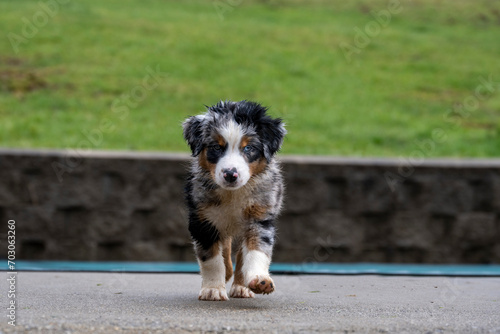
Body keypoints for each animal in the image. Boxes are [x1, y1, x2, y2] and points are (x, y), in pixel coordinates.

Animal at [183, 100, 286, 302]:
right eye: (216, 147)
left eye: (248, 148)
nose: (230, 174)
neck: (233, 194)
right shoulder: (203, 220)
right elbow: (211, 258)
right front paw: (213, 289)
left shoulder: (260, 215)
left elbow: (257, 250)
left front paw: (260, 280)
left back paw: (241, 286)